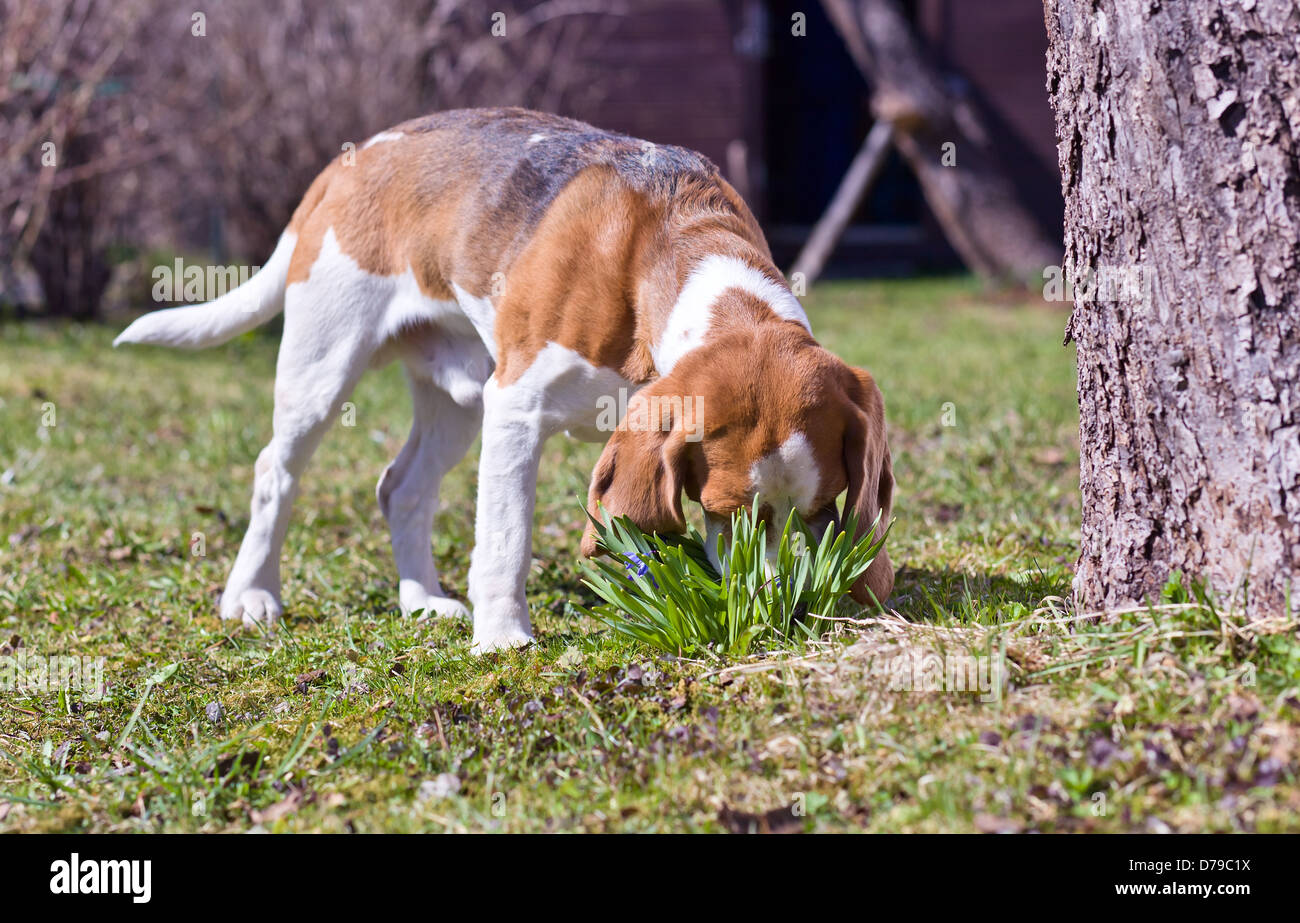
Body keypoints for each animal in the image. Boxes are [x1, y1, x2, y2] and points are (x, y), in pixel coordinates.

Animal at [114, 108, 894, 655]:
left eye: (823, 515)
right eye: (731, 512)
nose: (782, 605)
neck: (681, 250)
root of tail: (351, 160)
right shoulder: (517, 408)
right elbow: (506, 537)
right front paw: (502, 637)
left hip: (458, 399)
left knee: (401, 488)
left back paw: (421, 600)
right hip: (323, 366)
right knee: (275, 472)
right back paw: (251, 595)